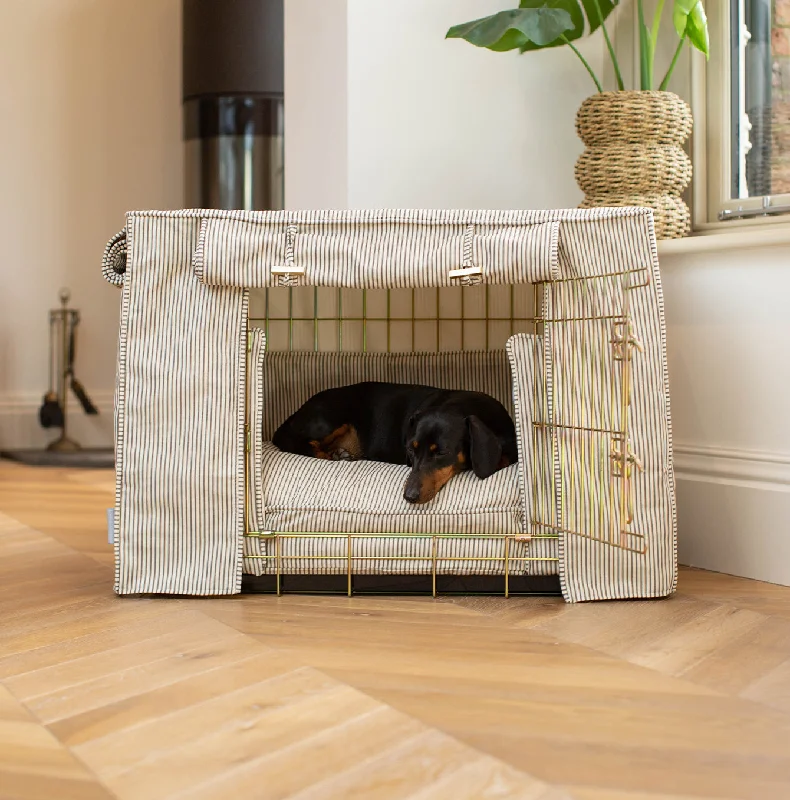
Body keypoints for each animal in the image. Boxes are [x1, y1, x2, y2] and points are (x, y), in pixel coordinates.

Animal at [272, 380, 520, 500]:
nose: (409, 497)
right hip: (329, 417)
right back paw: (330, 454)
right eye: (411, 450)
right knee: (292, 440)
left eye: (441, 452)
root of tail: (296, 413)